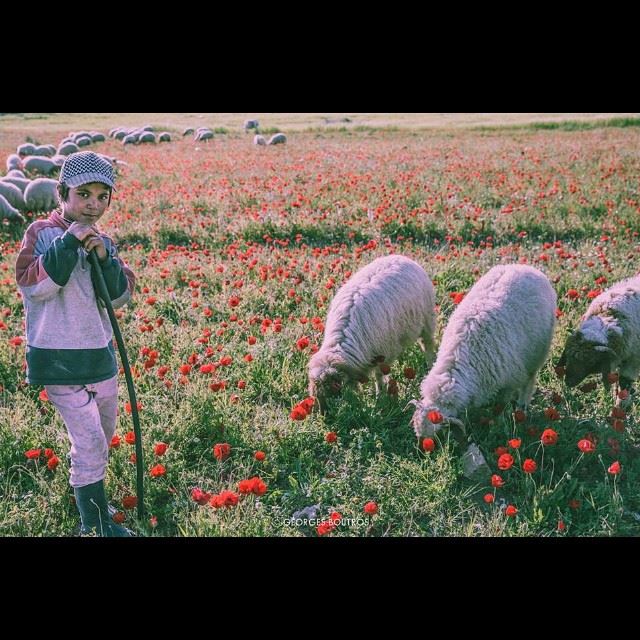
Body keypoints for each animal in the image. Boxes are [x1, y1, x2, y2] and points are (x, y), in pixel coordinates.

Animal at [306, 256, 436, 416]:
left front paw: (380, 397)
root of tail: (402, 256)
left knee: (427, 345)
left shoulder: (382, 353)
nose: (324, 417)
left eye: (334, 391)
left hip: (427, 320)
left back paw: (430, 366)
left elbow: (379, 376)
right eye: (316, 396)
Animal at [410, 264, 556, 440]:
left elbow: (500, 405)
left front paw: (498, 424)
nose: (423, 447)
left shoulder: (509, 380)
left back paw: (522, 406)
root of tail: (526, 267)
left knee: (529, 381)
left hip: (537, 354)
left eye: (437, 434)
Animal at [556, 272, 640, 402]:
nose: (568, 382)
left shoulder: (632, 361)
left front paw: (621, 404)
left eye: (591, 361)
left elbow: (624, 383)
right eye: (568, 356)